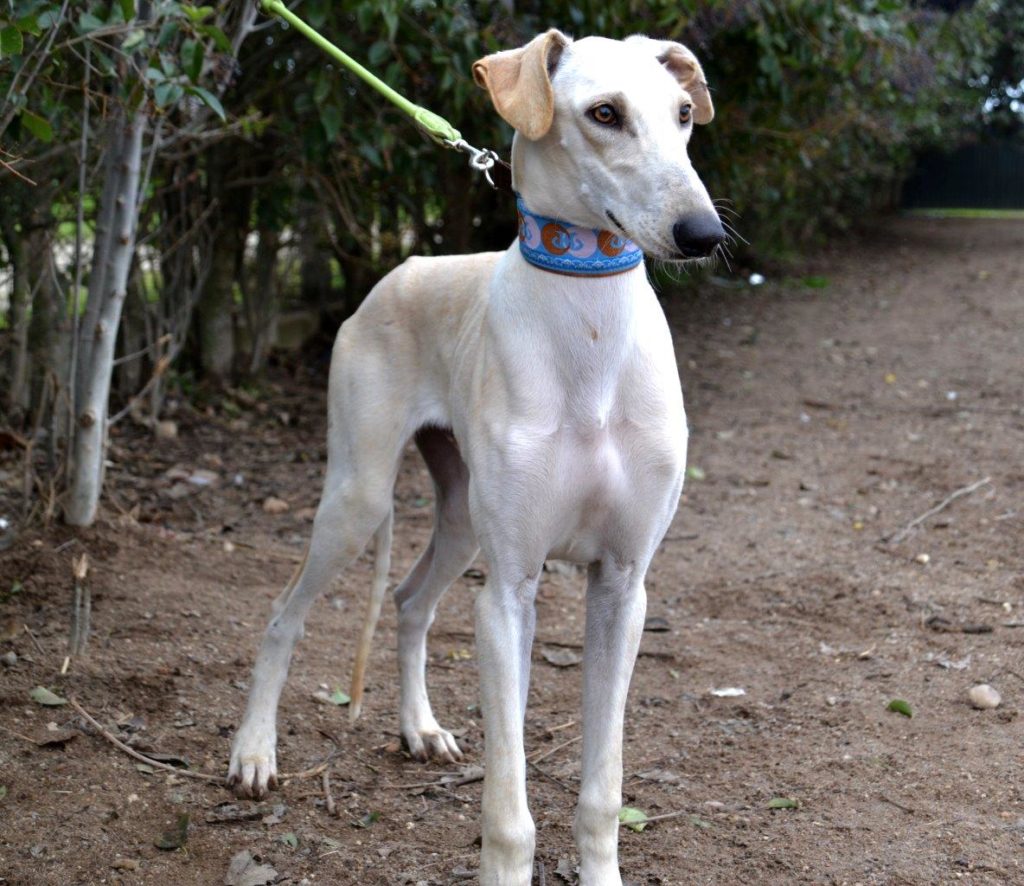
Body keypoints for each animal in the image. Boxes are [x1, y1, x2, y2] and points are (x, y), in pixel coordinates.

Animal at [228, 27, 724, 884]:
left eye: (685, 113)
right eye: (604, 113)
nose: (704, 235)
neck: (588, 325)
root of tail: (399, 270)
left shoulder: (623, 587)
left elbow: (602, 791)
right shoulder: (509, 595)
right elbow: (509, 808)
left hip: (461, 521)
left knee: (408, 601)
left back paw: (419, 727)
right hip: (358, 499)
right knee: (283, 617)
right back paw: (255, 753)